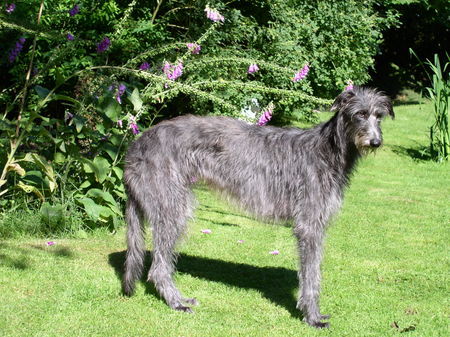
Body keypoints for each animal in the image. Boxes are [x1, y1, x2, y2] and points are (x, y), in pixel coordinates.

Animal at [121, 86, 392, 326]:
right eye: (360, 114)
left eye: (379, 115)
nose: (376, 142)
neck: (328, 150)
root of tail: (135, 146)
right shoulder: (309, 226)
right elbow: (312, 275)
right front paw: (312, 316)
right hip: (172, 207)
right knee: (158, 268)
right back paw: (176, 302)